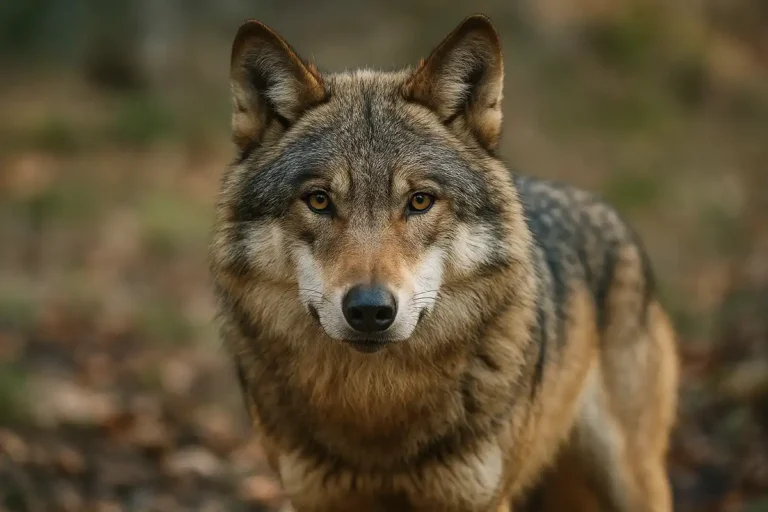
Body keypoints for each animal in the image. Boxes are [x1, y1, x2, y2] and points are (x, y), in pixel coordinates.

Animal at [209, 13, 679, 512]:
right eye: (319, 200)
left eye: (420, 201)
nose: (370, 310)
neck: (375, 410)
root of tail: (605, 209)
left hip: (633, 480)